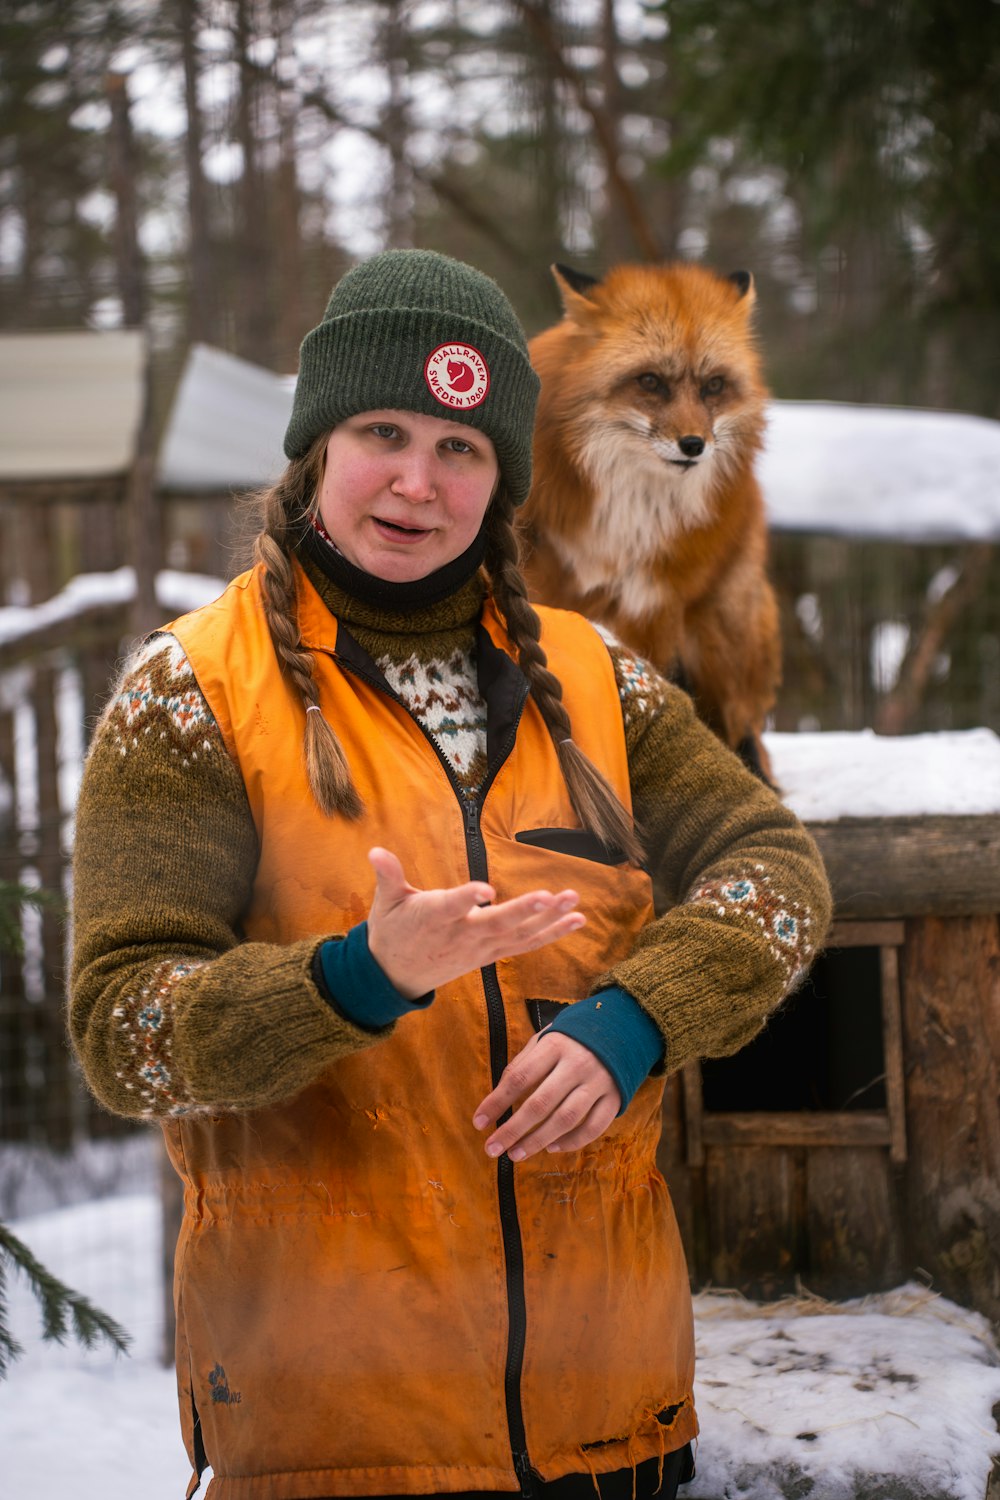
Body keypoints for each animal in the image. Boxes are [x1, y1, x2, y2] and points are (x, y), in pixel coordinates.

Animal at [524, 259, 779, 780]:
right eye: (650, 381)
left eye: (713, 385)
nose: (694, 444)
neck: (630, 514)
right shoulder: (548, 578)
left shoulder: (655, 599)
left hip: (723, 633)